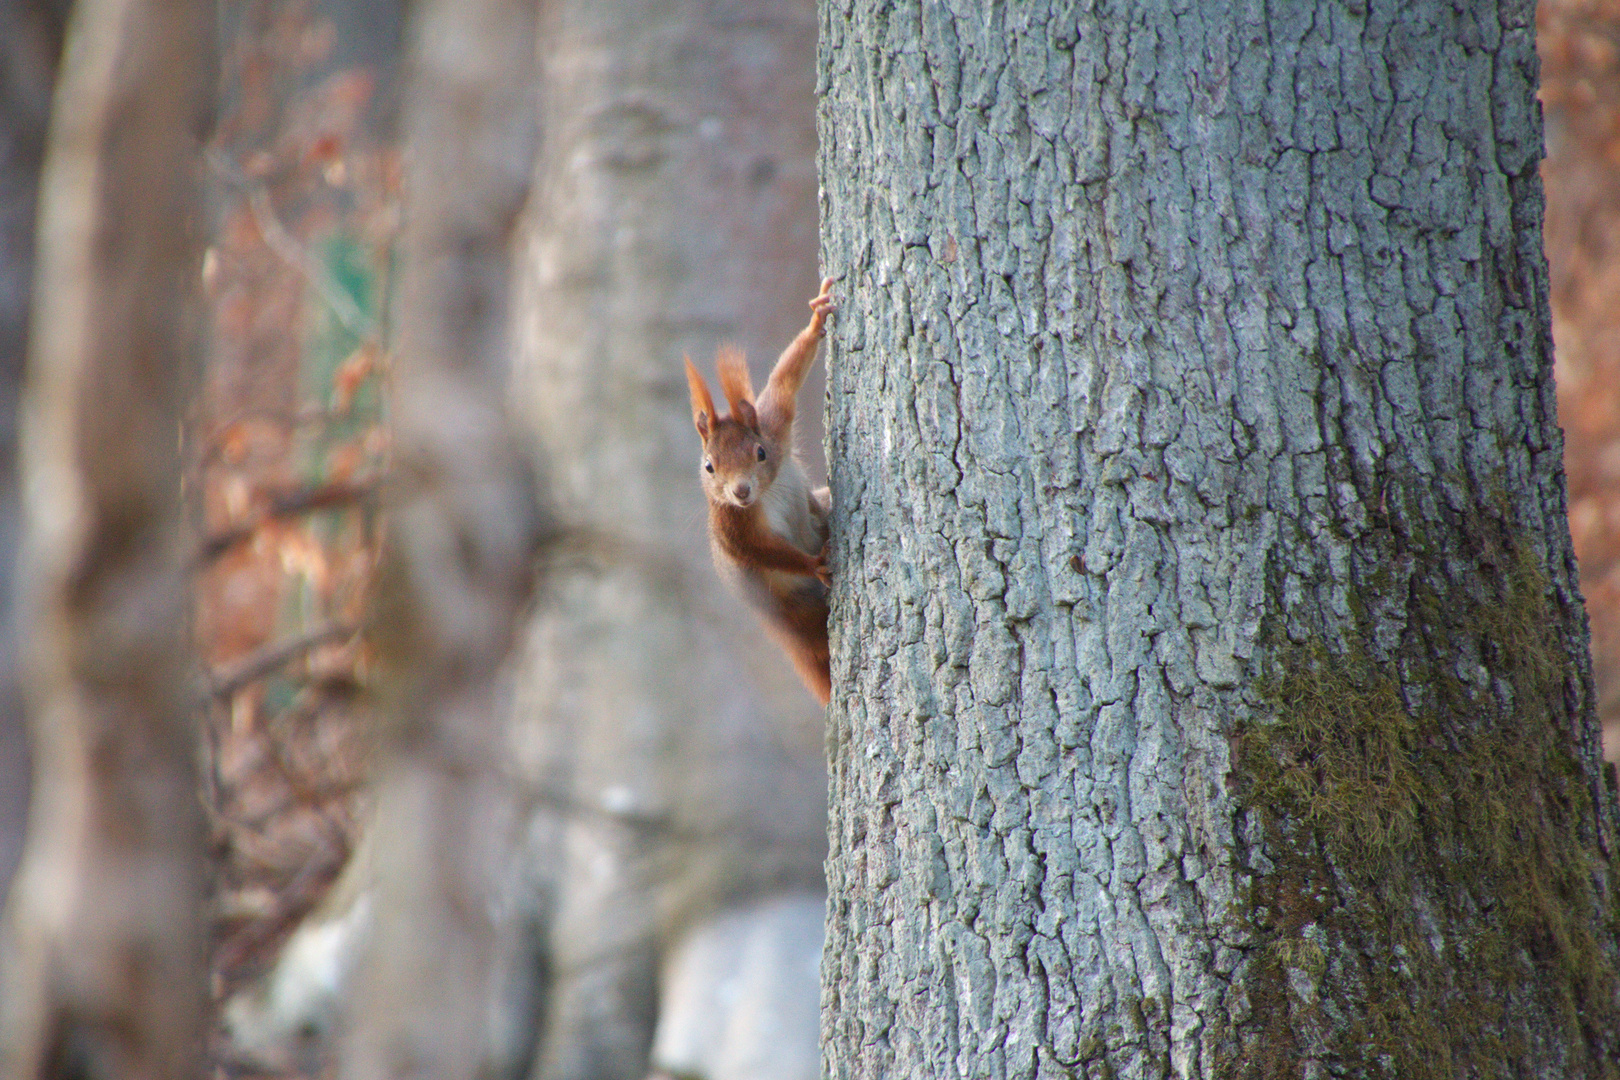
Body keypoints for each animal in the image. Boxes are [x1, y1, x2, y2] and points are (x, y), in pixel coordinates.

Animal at [683, 275, 835, 705]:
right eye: (709, 467)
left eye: (760, 452)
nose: (740, 492)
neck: (766, 494)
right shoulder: (732, 528)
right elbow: (764, 551)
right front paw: (813, 563)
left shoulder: (775, 423)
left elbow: (785, 379)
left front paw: (816, 319)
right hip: (792, 607)